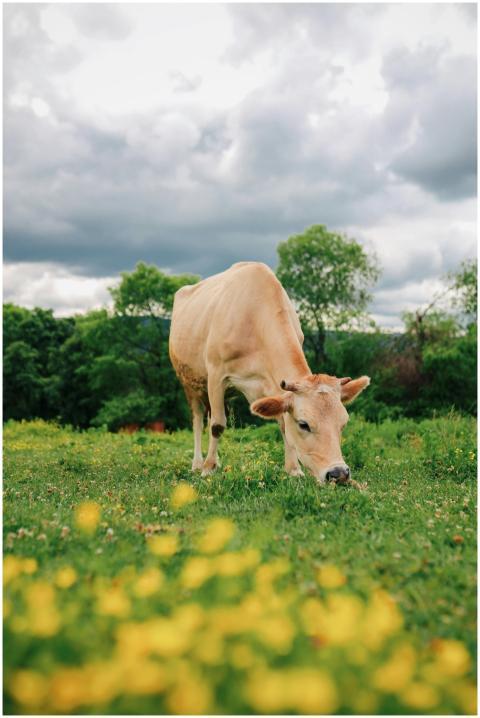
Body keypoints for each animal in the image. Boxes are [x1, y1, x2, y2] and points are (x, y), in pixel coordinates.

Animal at [169, 261, 370, 484]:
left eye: (343, 424)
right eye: (304, 424)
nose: (339, 473)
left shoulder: (274, 385)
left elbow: (283, 423)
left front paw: (293, 469)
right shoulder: (216, 375)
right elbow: (217, 425)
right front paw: (208, 469)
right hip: (189, 381)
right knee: (198, 419)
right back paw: (198, 464)